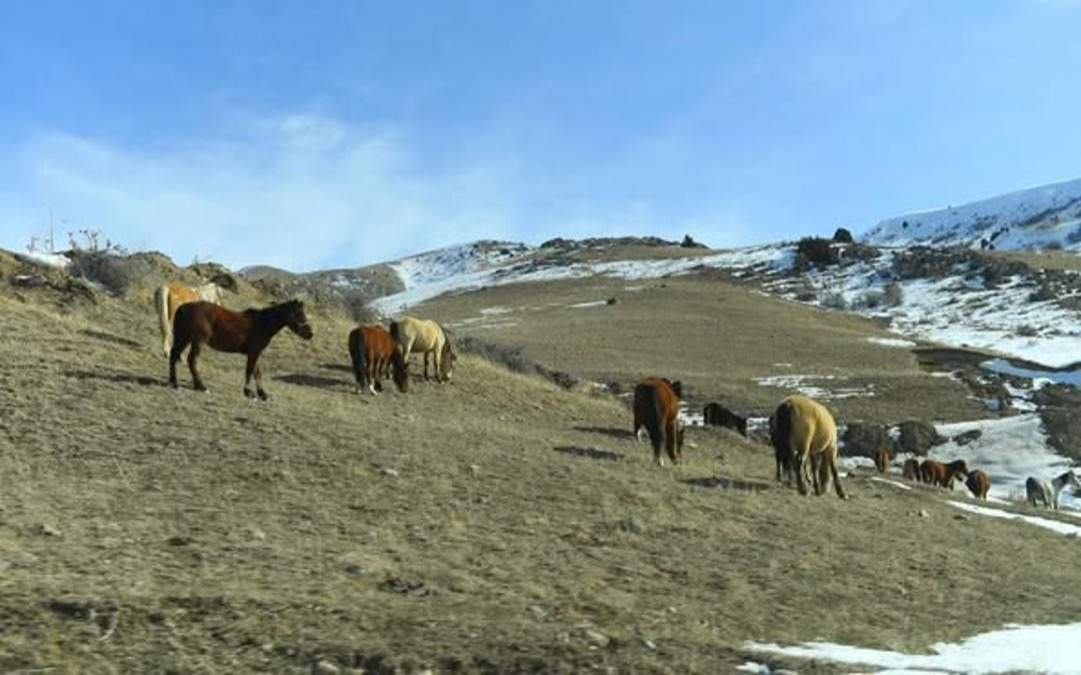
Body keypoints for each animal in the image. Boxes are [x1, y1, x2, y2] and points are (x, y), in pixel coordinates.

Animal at [167, 298, 313, 398]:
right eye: (299, 313)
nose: (310, 334)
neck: (262, 323)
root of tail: (183, 307)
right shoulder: (253, 353)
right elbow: (249, 371)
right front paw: (248, 392)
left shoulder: (256, 353)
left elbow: (257, 372)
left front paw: (263, 394)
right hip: (198, 341)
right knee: (192, 360)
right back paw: (201, 386)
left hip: (184, 338)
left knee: (173, 355)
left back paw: (174, 383)